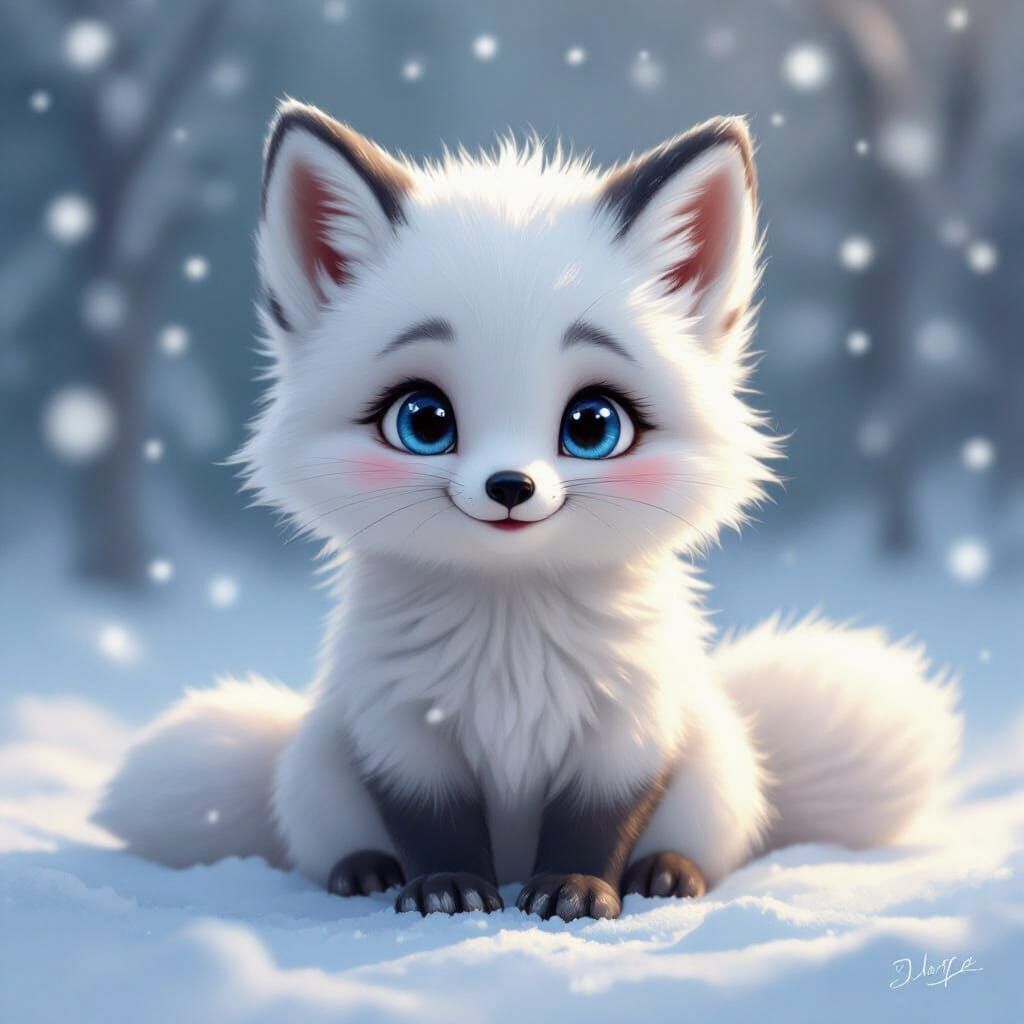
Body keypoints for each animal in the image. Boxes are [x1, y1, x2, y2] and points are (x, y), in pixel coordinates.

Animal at [92, 101, 961, 921]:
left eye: (592, 425)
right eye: (423, 421)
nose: (510, 486)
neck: (510, 641)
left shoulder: (626, 734)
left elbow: (594, 826)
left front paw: (575, 894)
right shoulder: (400, 733)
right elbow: (433, 827)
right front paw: (445, 892)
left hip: (715, 771)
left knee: (708, 846)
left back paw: (666, 875)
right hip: (318, 768)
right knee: (330, 844)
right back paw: (364, 874)